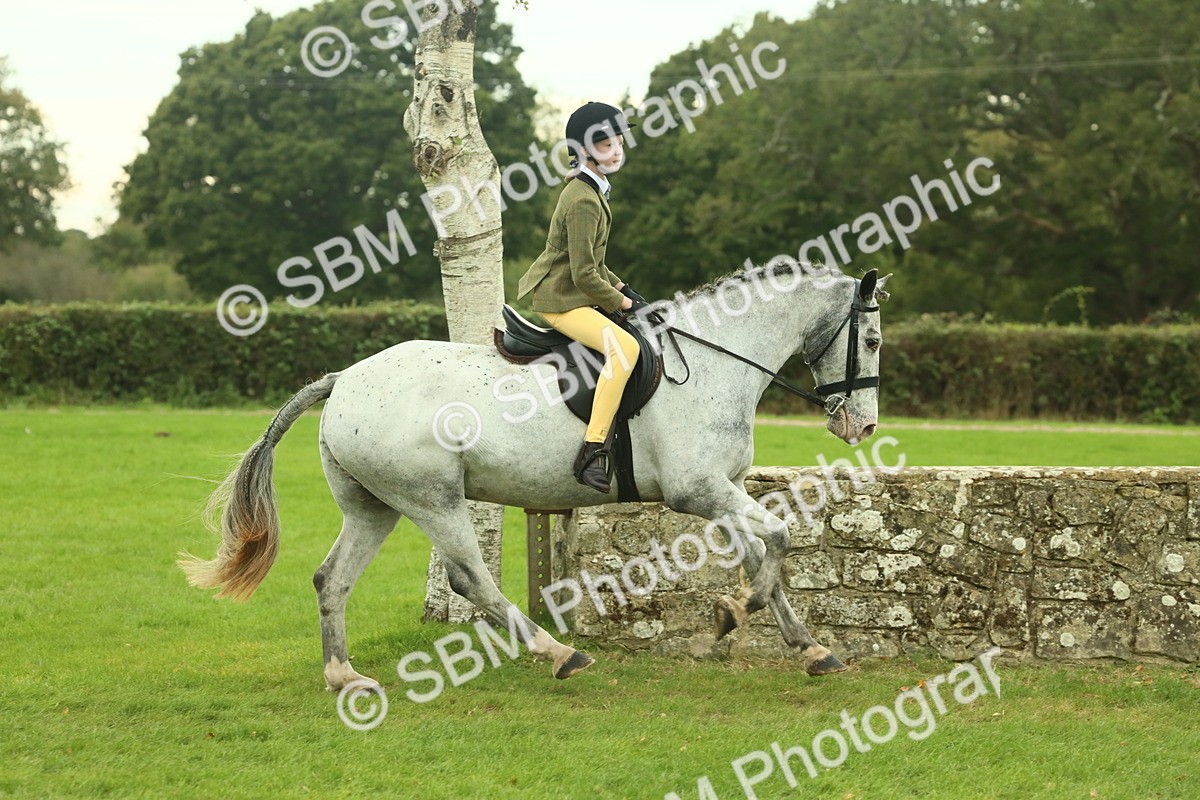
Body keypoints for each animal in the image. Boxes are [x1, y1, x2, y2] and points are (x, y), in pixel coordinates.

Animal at [181, 260, 890, 691]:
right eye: (874, 342)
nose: (862, 428)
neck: (718, 360)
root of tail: (344, 379)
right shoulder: (700, 492)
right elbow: (779, 541)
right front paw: (732, 616)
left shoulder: (726, 491)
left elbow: (763, 555)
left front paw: (803, 646)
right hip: (433, 498)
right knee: (470, 579)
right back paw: (558, 653)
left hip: (373, 506)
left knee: (333, 579)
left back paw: (343, 677)